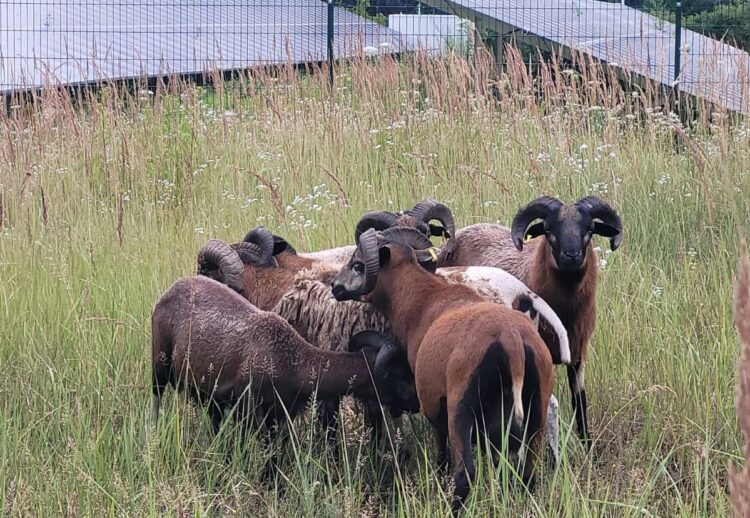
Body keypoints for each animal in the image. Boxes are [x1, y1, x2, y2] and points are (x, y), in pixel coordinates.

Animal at [148, 272, 418, 438]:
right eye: (401, 376)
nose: (418, 403)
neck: (294, 361)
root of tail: (172, 288)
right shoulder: (251, 411)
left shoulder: (282, 415)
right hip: (160, 362)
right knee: (156, 399)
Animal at [332, 229, 556, 516]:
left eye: (358, 264)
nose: (334, 286)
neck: (420, 298)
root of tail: (511, 339)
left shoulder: (432, 400)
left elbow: (441, 447)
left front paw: (438, 474)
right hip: (536, 410)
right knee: (529, 472)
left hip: (460, 410)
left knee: (465, 475)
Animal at [440, 197, 624, 448]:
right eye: (548, 230)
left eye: (590, 229)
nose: (571, 255)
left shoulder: (578, 353)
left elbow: (580, 402)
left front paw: (587, 446)